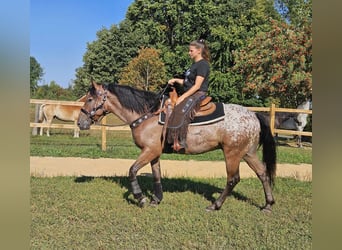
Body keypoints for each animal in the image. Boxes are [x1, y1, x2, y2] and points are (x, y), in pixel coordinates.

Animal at [77, 83, 278, 212]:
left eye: (89, 99)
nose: (80, 122)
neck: (148, 114)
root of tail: (254, 115)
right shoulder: (154, 153)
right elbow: (156, 175)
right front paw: (156, 199)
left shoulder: (149, 151)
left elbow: (132, 170)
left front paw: (141, 198)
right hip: (248, 153)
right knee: (263, 173)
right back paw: (268, 204)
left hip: (232, 154)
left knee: (233, 179)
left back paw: (215, 205)